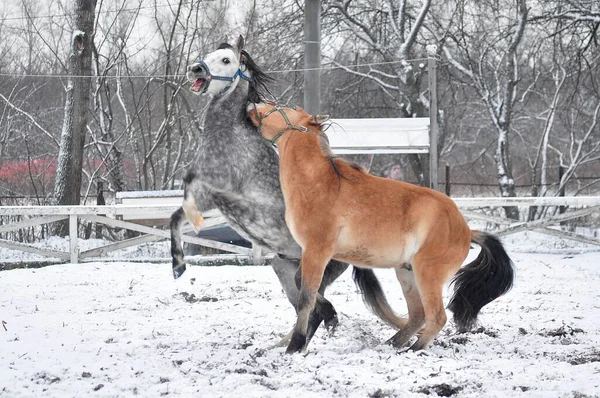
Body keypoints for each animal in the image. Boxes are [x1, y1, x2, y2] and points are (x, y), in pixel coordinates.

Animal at [169, 36, 398, 348]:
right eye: (208, 54)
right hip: (283, 267)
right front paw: (178, 266)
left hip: (312, 269)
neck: (230, 136)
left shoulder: (221, 183)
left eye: (226, 60)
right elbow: (176, 217)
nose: (195, 69)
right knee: (309, 309)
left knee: (314, 306)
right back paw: (280, 345)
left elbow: (188, 181)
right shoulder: (209, 196)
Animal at [246, 102, 512, 354]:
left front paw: (296, 345)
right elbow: (300, 282)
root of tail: (467, 230)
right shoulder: (313, 253)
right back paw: (391, 344)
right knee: (418, 315)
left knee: (436, 316)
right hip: (407, 273)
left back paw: (413, 350)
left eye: (286, 106)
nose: (252, 105)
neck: (319, 184)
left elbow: (305, 296)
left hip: (427, 274)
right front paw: (326, 316)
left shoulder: (317, 251)